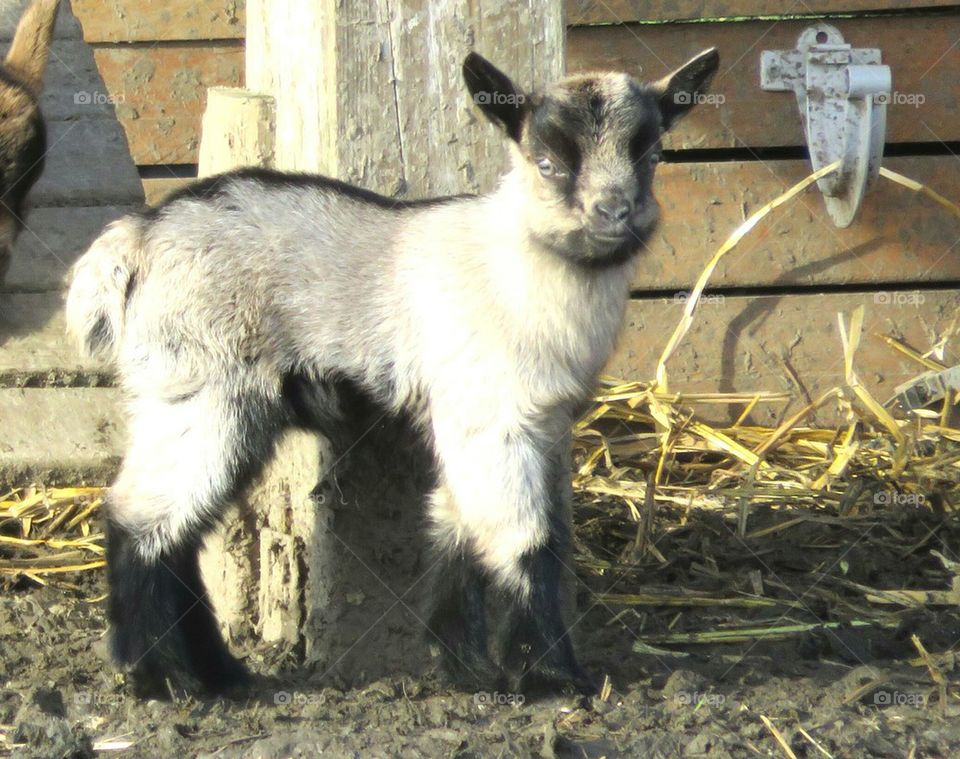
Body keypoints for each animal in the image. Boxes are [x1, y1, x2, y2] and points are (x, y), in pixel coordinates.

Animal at [66, 49, 719, 697]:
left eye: (652, 155)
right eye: (548, 162)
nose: (616, 212)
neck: (515, 267)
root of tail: (140, 235)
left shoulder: (525, 422)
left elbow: (460, 526)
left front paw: (466, 666)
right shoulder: (491, 418)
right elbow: (526, 538)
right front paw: (551, 674)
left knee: (180, 530)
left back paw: (218, 673)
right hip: (200, 389)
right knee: (138, 518)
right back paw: (162, 676)